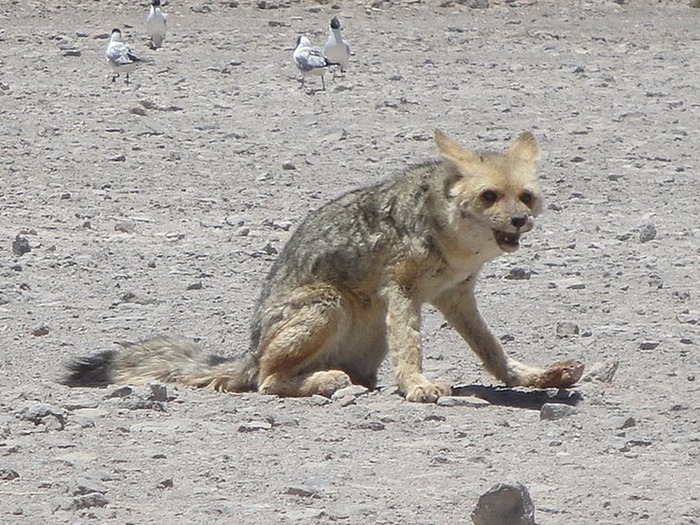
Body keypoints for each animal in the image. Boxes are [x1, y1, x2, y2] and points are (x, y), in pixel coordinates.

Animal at [63, 130, 584, 402]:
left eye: (525, 197)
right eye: (490, 196)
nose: (519, 221)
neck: (453, 241)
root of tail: (249, 351)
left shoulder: (455, 295)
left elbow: (491, 350)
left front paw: (532, 377)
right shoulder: (403, 290)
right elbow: (411, 346)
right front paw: (417, 385)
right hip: (327, 305)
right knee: (267, 382)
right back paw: (322, 380)